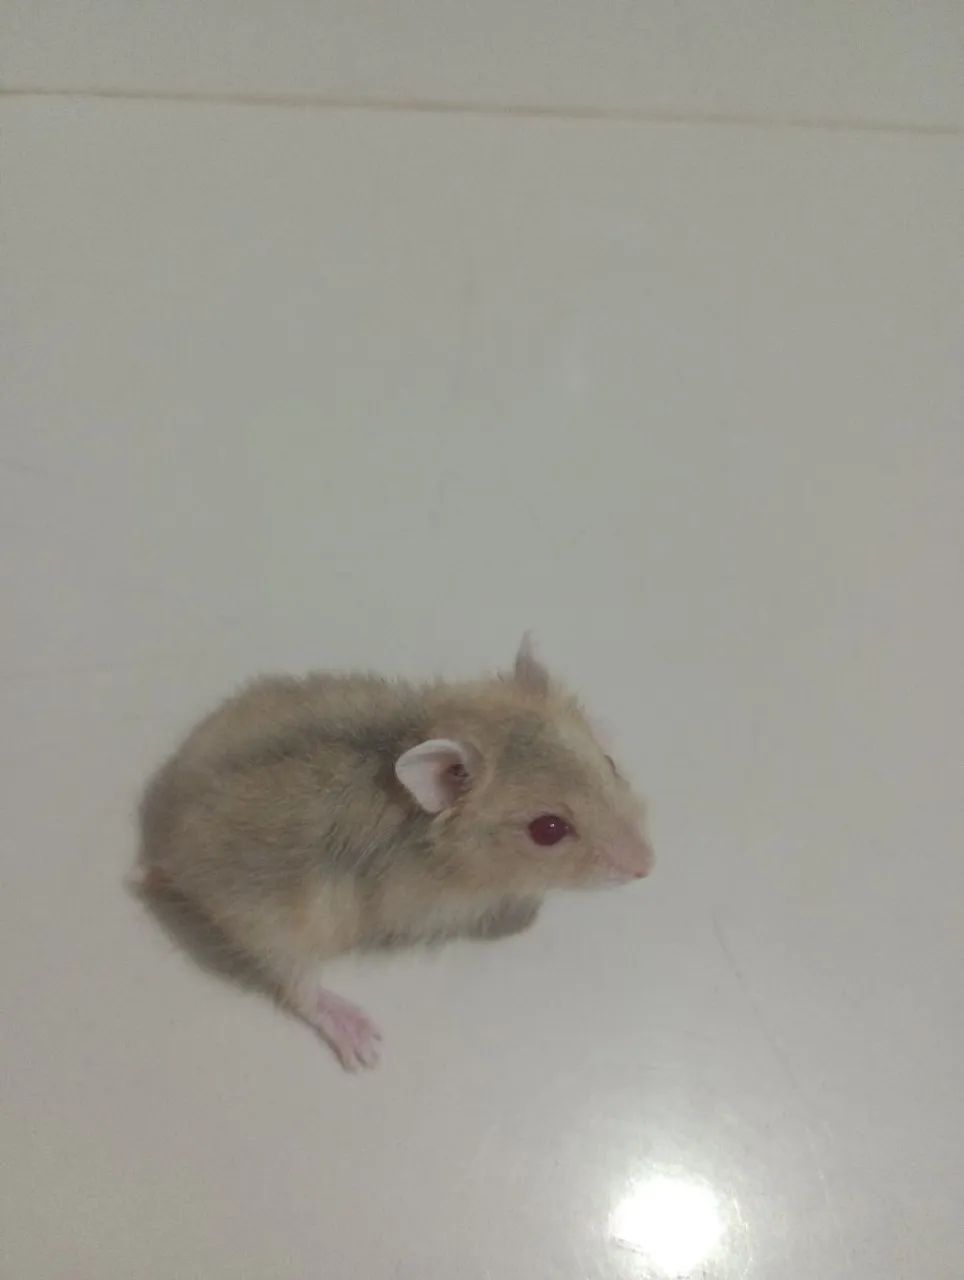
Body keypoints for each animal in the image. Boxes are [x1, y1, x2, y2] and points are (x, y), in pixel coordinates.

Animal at [139, 638, 654, 1069]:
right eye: (548, 830)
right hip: (275, 932)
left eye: (608, 762)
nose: (648, 867)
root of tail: (164, 845)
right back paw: (362, 1041)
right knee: (299, 990)